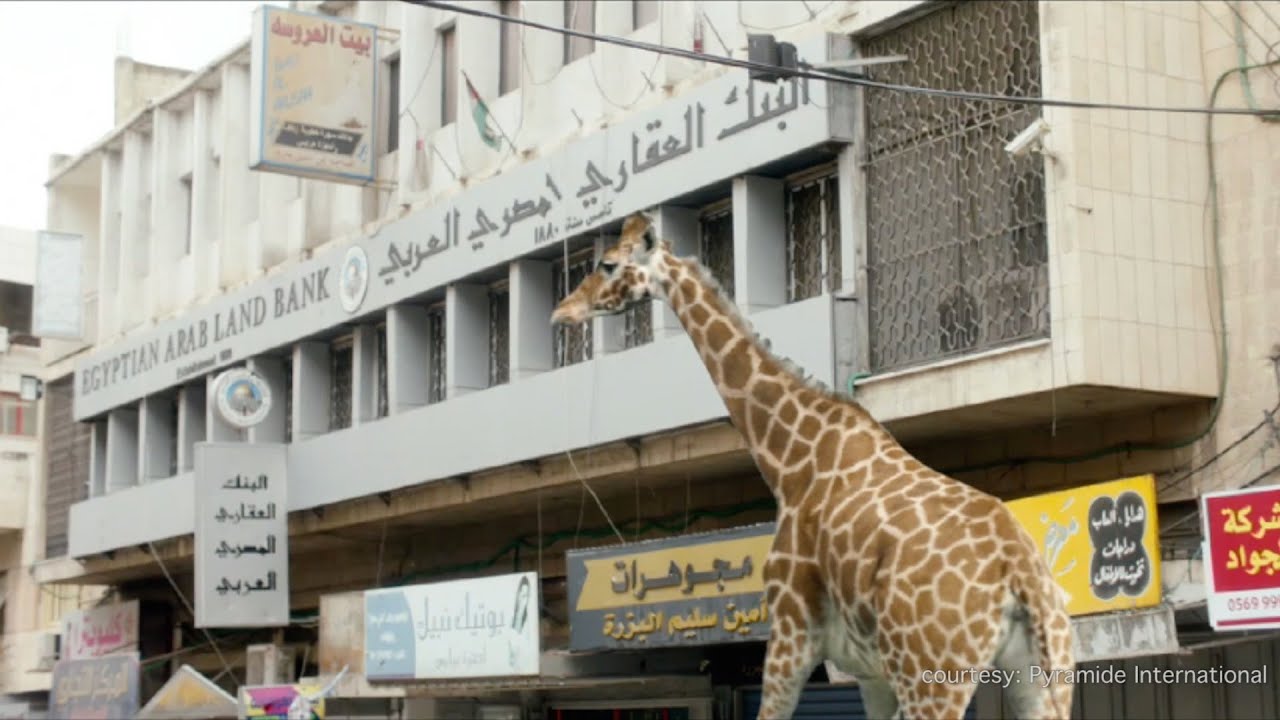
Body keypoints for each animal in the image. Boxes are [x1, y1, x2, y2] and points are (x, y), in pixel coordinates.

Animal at [551, 212, 1075, 720]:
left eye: (608, 265)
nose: (562, 311)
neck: (789, 459)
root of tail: (1021, 574)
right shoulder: (870, 672)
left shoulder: (790, 629)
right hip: (1044, 673)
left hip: (934, 674)